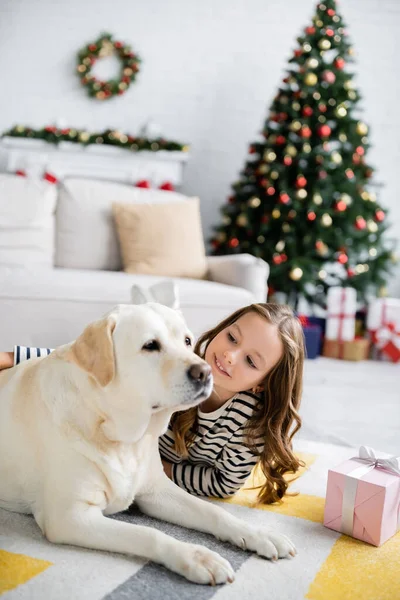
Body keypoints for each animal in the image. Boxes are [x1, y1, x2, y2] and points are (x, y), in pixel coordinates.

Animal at [0, 302, 296, 584]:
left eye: (187, 341)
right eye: (150, 345)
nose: (205, 371)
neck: (119, 434)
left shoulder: (156, 491)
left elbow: (214, 512)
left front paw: (259, 533)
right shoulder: (69, 517)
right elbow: (148, 534)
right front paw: (197, 557)